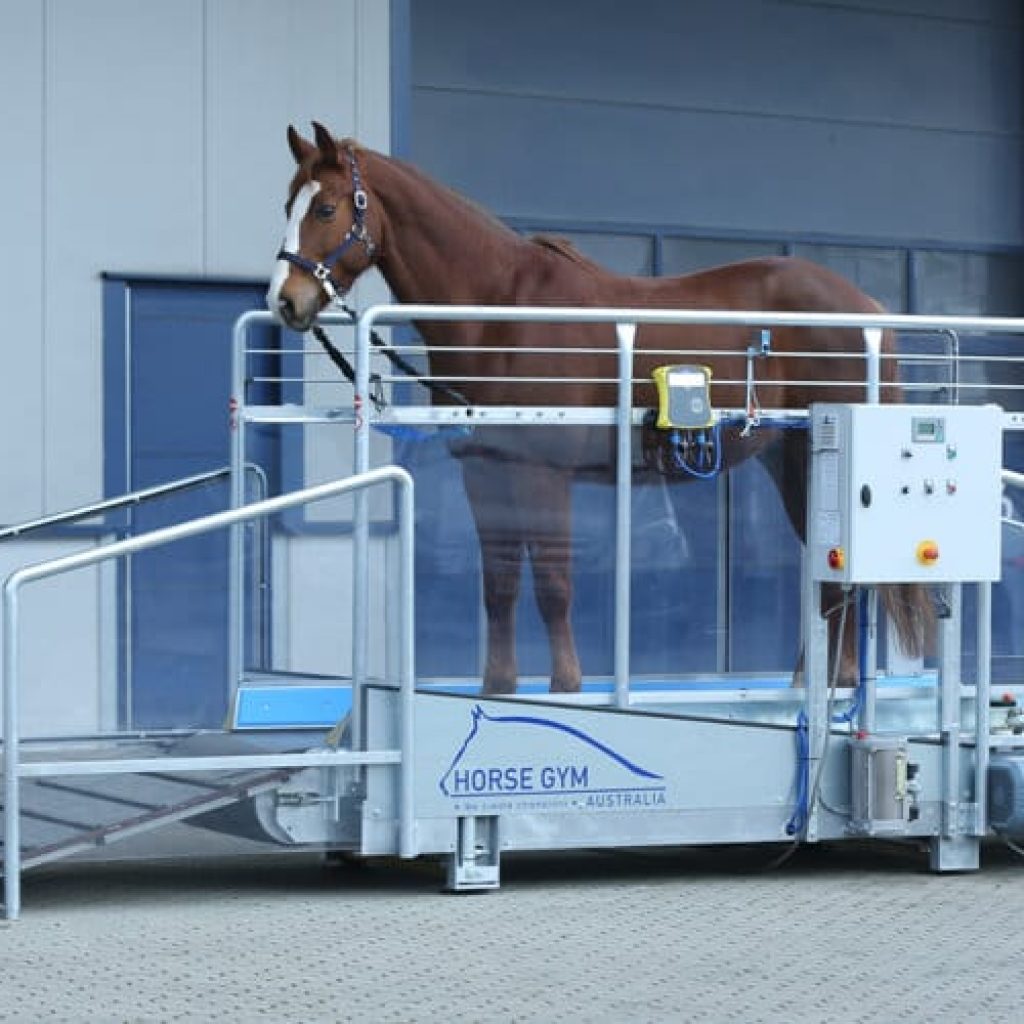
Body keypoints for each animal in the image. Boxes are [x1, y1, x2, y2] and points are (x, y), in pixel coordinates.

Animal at [267, 121, 933, 696]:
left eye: (326, 209)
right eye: (288, 205)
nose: (285, 300)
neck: (500, 312)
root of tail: (867, 307)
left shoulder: (544, 474)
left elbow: (552, 584)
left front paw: (566, 686)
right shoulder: (486, 471)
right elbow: (499, 585)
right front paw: (499, 687)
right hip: (791, 461)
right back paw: (814, 683)